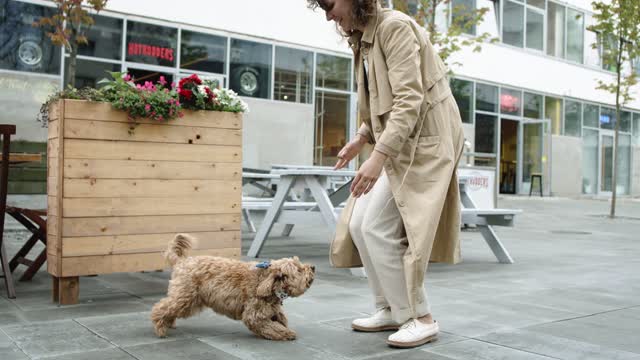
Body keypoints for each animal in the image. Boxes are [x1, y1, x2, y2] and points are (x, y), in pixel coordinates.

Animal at [152, 233, 318, 340]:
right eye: (299, 269)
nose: (313, 267)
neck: (264, 281)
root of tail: (182, 262)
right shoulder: (254, 315)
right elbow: (271, 327)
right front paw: (286, 333)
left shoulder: (269, 308)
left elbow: (279, 317)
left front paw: (283, 324)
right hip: (185, 296)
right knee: (161, 308)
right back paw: (160, 328)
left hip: (189, 300)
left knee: (170, 310)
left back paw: (169, 323)